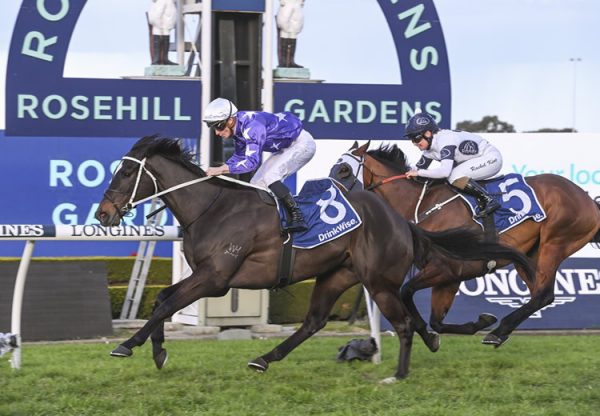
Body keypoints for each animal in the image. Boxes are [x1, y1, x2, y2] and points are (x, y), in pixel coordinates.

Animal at [95, 136, 536, 380]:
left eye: (124, 174)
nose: (103, 214)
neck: (213, 206)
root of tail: (399, 220)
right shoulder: (206, 276)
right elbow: (161, 299)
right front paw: (158, 351)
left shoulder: (216, 278)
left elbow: (164, 304)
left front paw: (128, 345)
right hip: (337, 275)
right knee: (314, 321)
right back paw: (263, 359)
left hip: (378, 282)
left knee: (404, 324)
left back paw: (399, 373)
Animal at [330, 141, 600, 346]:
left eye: (344, 170)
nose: (330, 198)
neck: (423, 205)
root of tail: (587, 199)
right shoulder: (450, 277)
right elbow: (437, 320)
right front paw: (472, 324)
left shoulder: (446, 268)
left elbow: (406, 292)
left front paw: (431, 336)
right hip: (528, 256)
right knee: (541, 295)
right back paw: (499, 331)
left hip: (555, 243)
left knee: (543, 294)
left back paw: (497, 333)